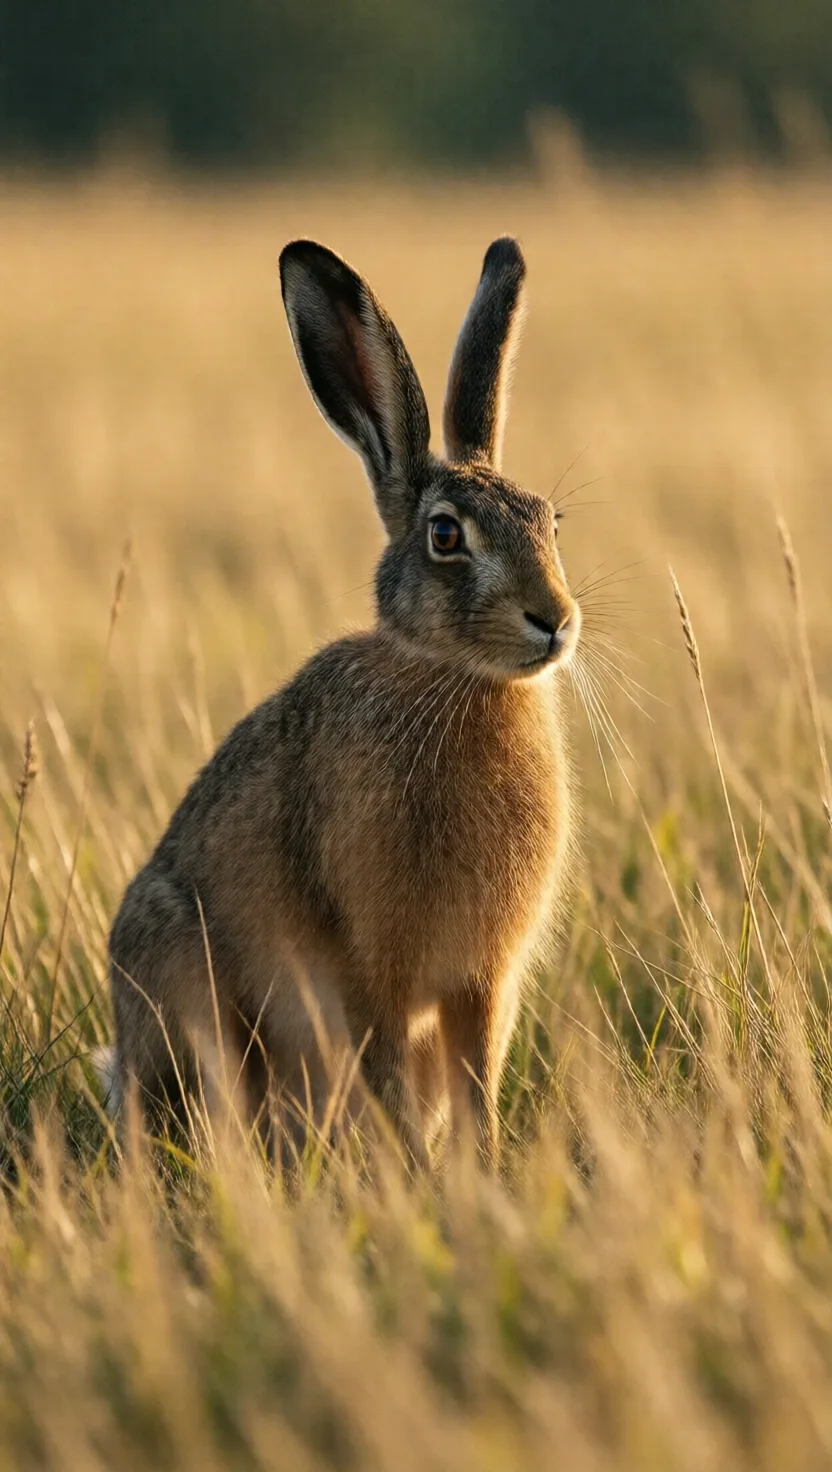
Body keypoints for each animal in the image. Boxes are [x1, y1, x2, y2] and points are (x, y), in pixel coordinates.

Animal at [106, 234, 581, 1168]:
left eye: (551, 523)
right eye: (446, 536)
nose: (555, 619)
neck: (456, 679)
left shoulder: (482, 983)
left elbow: (477, 1084)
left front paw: (477, 1172)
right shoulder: (374, 971)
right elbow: (391, 1072)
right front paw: (416, 1177)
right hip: (184, 976)